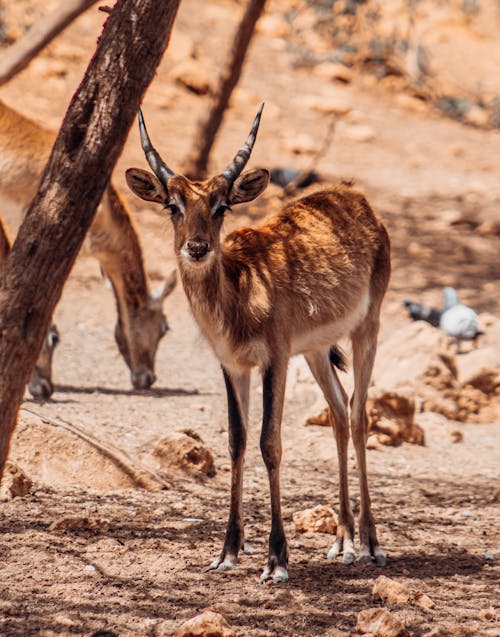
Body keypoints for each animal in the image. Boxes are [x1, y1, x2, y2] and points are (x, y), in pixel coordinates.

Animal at [127, 103, 392, 580]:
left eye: (222, 205)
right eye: (173, 204)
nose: (197, 248)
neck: (242, 288)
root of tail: (356, 199)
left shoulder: (276, 359)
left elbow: (270, 442)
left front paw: (276, 560)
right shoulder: (233, 365)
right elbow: (237, 440)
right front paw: (227, 553)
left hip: (368, 328)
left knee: (359, 413)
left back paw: (369, 545)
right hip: (316, 351)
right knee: (338, 412)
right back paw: (342, 542)